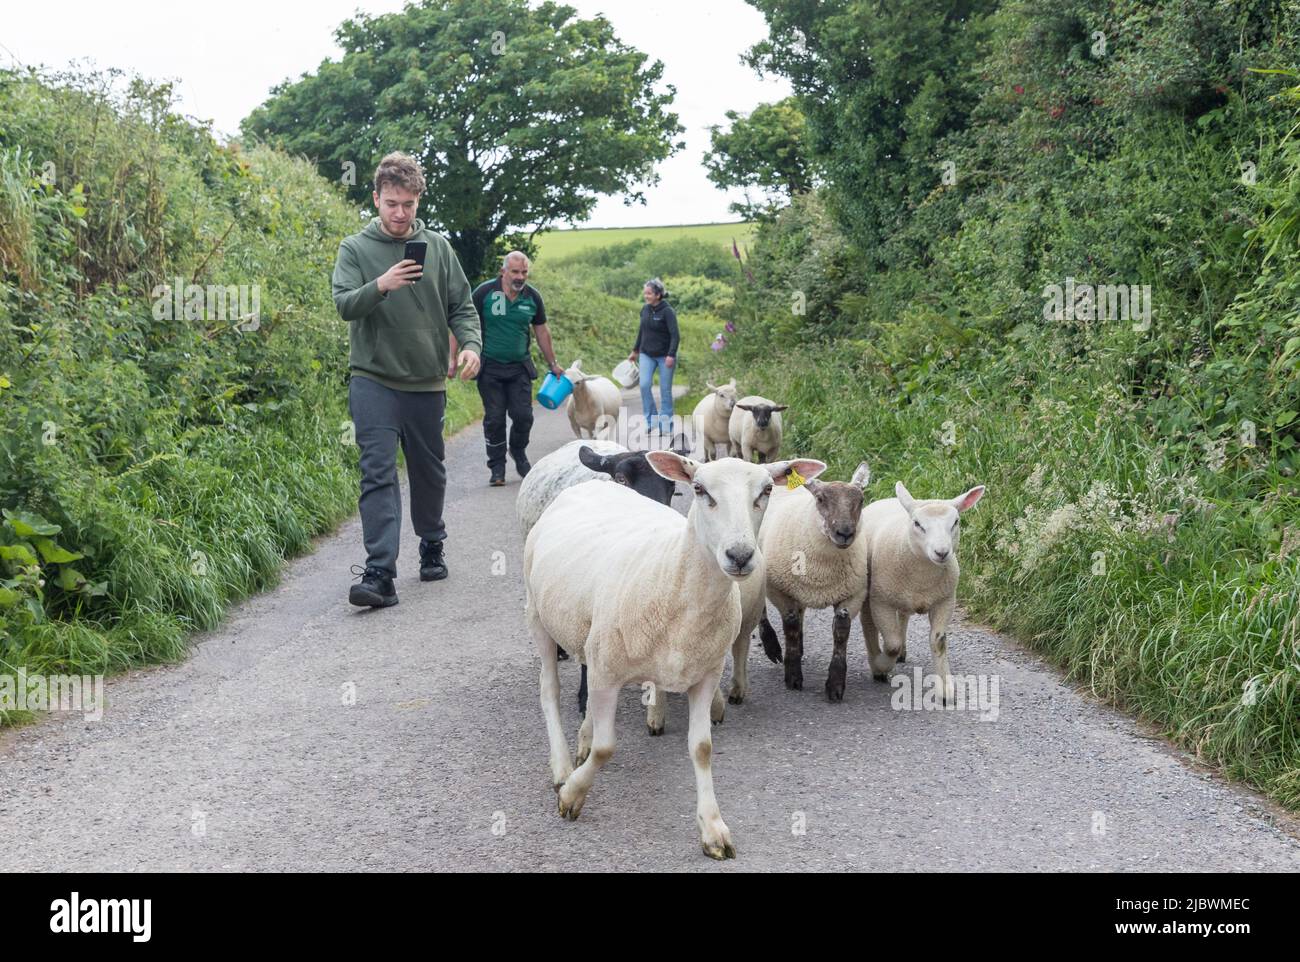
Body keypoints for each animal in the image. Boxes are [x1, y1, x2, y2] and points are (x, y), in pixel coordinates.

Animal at [520, 454, 816, 857]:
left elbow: (702, 748)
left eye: (767, 490)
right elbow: (606, 747)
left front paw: (713, 828)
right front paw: (572, 795)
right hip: (538, 616)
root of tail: (591, 483)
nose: (739, 555)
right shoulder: (607, 671)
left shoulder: (704, 675)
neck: (673, 576)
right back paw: (563, 768)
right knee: (549, 691)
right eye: (700, 489)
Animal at [754, 460, 873, 696]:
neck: (823, 570)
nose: (845, 533)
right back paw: (773, 646)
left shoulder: (854, 594)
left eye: (861, 500)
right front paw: (793, 676)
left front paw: (835, 684)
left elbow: (841, 632)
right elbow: (790, 626)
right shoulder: (779, 589)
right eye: (820, 499)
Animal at [857, 480, 987, 696]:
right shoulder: (881, 602)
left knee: (903, 615)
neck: (922, 577)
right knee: (868, 625)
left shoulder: (945, 601)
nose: (941, 552)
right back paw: (877, 662)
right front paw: (882, 665)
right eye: (918, 524)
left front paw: (945, 689)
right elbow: (891, 645)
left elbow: (938, 642)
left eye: (955, 522)